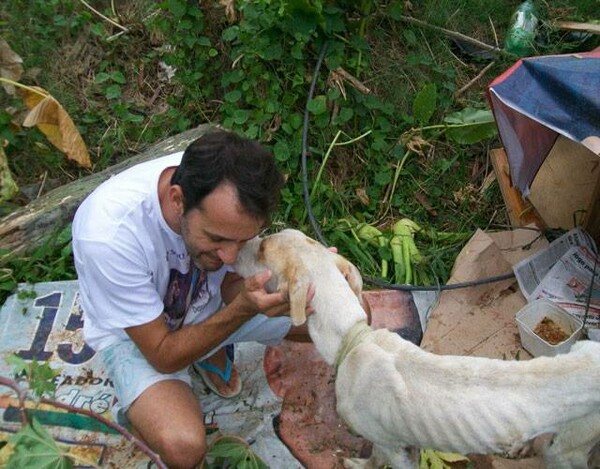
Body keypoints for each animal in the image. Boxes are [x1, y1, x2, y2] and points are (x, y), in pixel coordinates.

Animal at [233, 229, 600, 466]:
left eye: (263, 248)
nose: (233, 247)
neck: (354, 338)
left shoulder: (391, 447)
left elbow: (376, 459)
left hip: (567, 450)